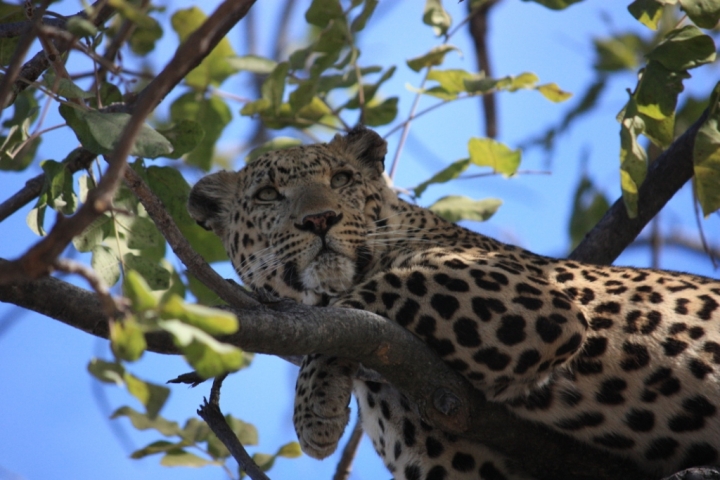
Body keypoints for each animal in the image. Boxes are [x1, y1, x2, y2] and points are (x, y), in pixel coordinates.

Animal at [187, 126, 720, 480]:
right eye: (268, 194)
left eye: (340, 179)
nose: (320, 220)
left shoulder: (531, 297)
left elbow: (375, 294)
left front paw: (313, 408)